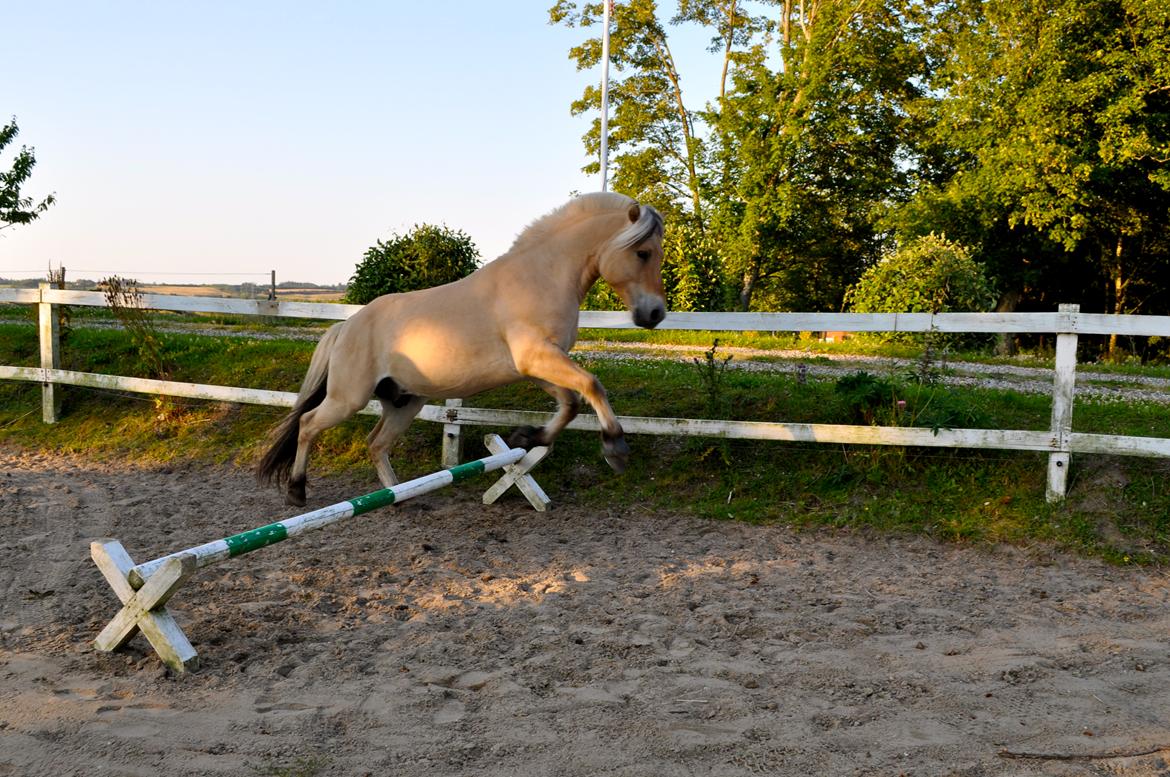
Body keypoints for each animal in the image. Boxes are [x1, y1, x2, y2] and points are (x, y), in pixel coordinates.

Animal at [257, 193, 669, 507]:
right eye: (643, 253)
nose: (655, 314)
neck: (540, 277)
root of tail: (347, 326)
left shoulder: (537, 366)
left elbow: (570, 403)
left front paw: (528, 438)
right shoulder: (538, 358)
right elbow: (592, 387)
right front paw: (615, 449)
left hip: (405, 402)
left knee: (376, 443)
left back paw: (399, 497)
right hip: (349, 398)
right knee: (309, 425)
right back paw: (297, 492)